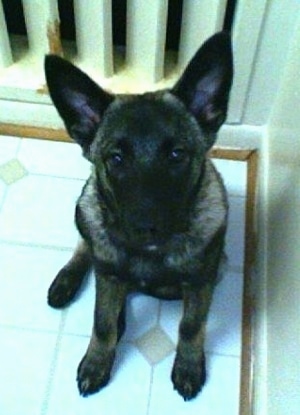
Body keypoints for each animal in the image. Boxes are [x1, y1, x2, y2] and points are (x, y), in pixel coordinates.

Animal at [45, 32, 234, 404]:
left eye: (176, 154)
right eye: (116, 159)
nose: (146, 229)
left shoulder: (201, 282)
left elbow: (191, 326)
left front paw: (188, 364)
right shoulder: (108, 275)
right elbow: (101, 324)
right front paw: (97, 361)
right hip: (85, 208)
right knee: (86, 247)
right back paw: (69, 278)